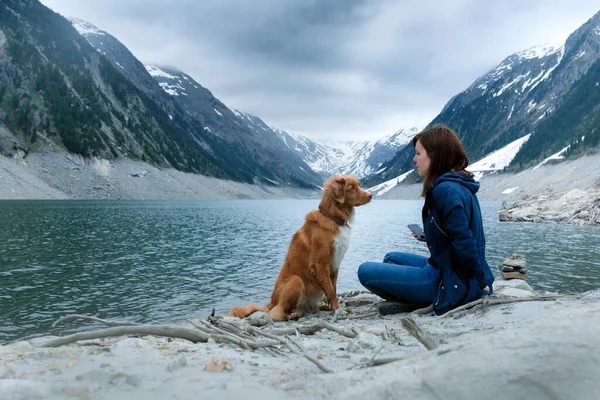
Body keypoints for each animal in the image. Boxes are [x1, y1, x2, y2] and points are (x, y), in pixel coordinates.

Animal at [229, 177, 372, 320]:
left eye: (359, 185)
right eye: (352, 187)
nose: (371, 195)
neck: (333, 218)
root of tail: (272, 300)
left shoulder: (335, 265)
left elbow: (334, 289)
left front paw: (334, 308)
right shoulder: (320, 264)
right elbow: (331, 291)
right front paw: (337, 310)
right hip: (295, 280)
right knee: (277, 312)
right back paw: (291, 315)